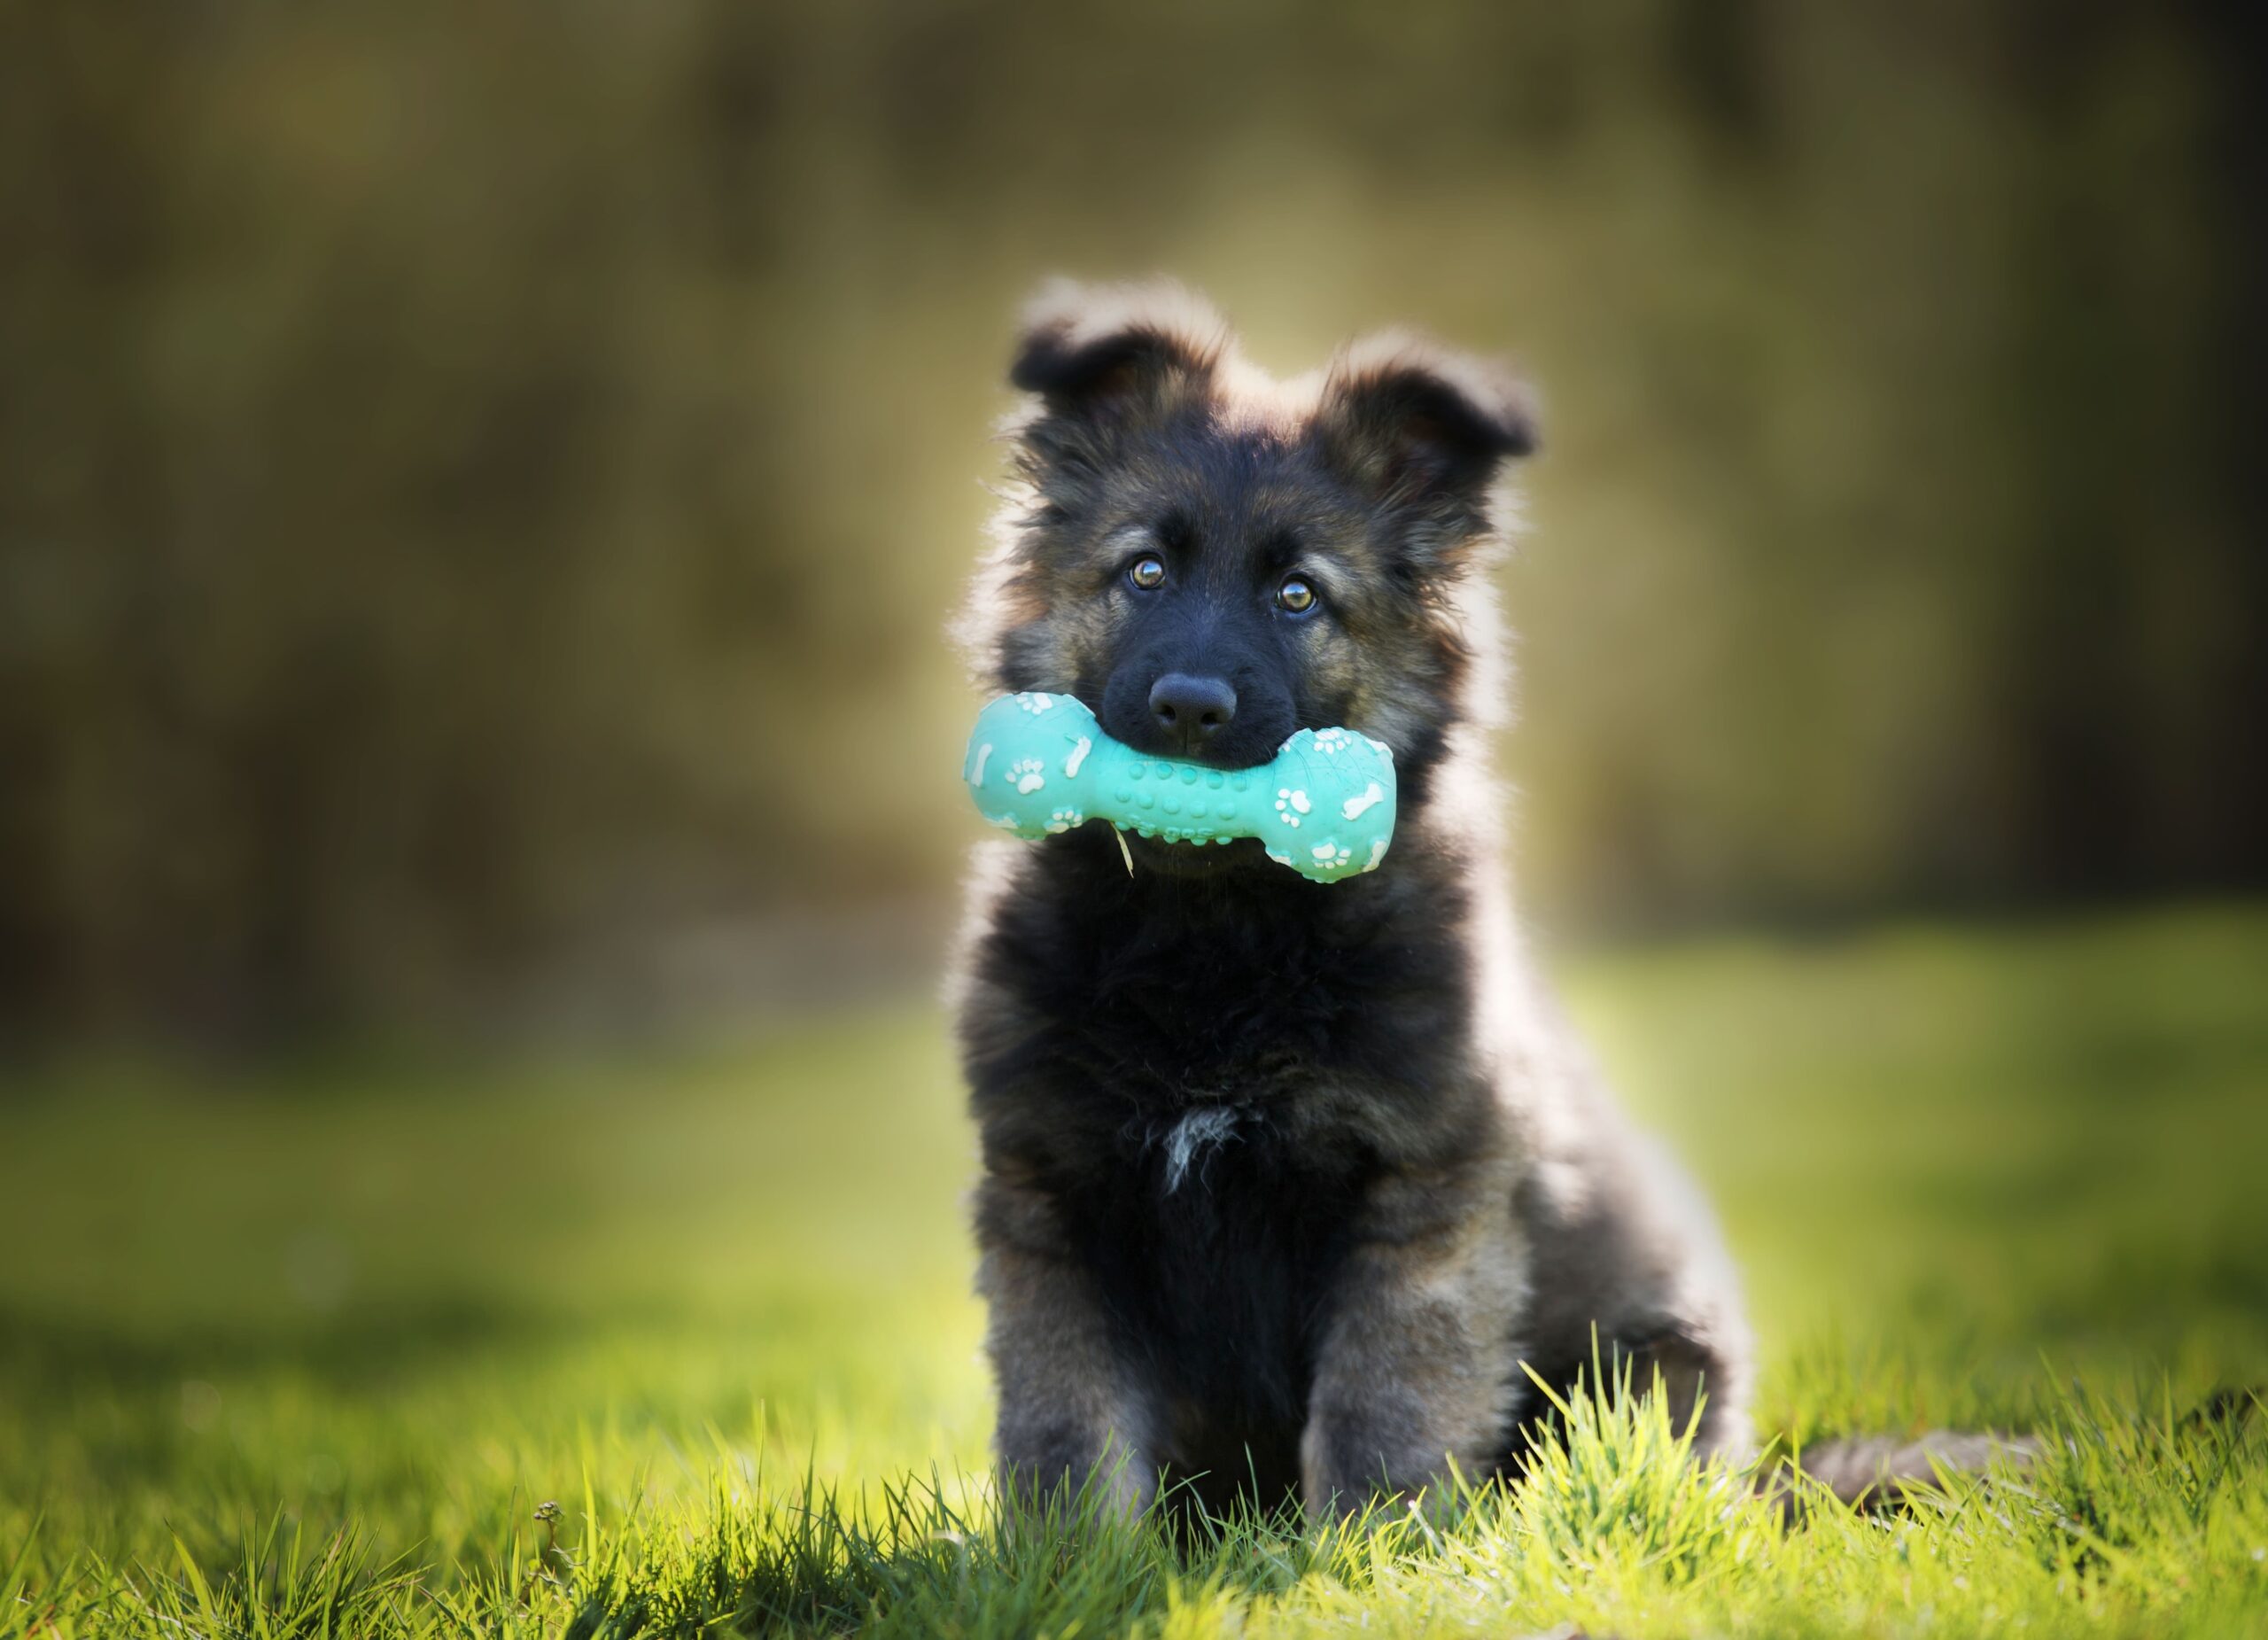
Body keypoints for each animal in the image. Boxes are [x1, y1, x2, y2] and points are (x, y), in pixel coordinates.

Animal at [952, 282, 1751, 1524]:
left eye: (1298, 596)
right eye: (1145, 572)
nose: (1189, 709)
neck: (1212, 942)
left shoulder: (1422, 1198)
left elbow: (1386, 1406)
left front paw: (1366, 1546)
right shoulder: (1051, 1196)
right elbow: (1065, 1429)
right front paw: (1070, 1557)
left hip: (1655, 1355)